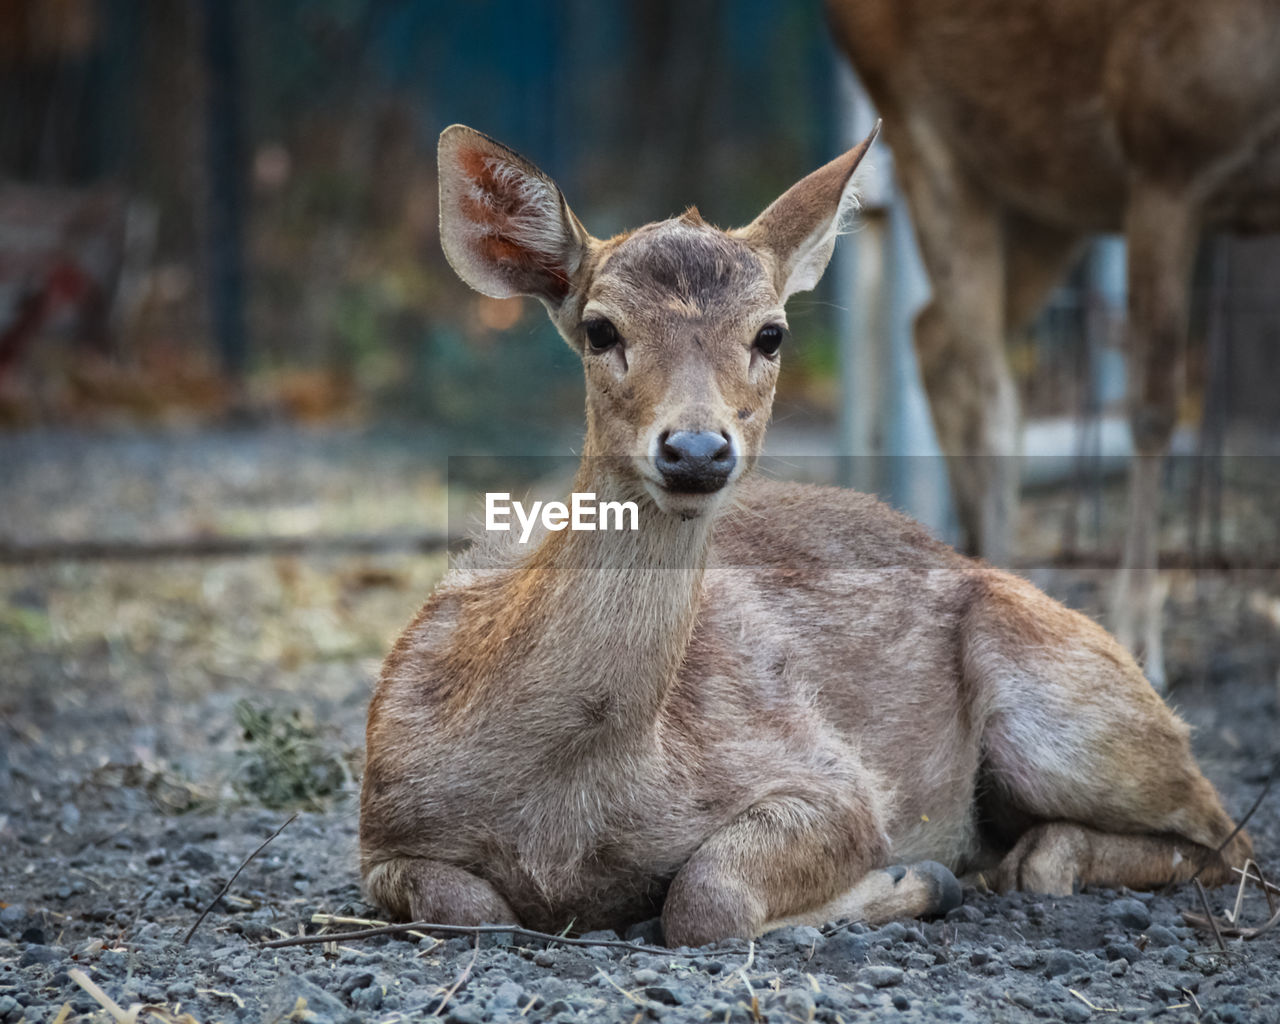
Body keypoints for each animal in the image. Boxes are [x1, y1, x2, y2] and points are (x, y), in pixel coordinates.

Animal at [358, 120, 1249, 942]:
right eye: (601, 328)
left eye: (770, 332)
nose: (696, 448)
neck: (564, 807)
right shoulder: (380, 828)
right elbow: (470, 907)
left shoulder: (830, 776)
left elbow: (708, 895)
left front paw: (912, 878)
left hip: (1063, 704)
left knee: (1220, 835)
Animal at [819, 0, 1280, 691]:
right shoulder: (1166, 154)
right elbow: (1153, 408)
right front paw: (1141, 640)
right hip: (926, 133)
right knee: (991, 393)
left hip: (1049, 196)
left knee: (935, 336)